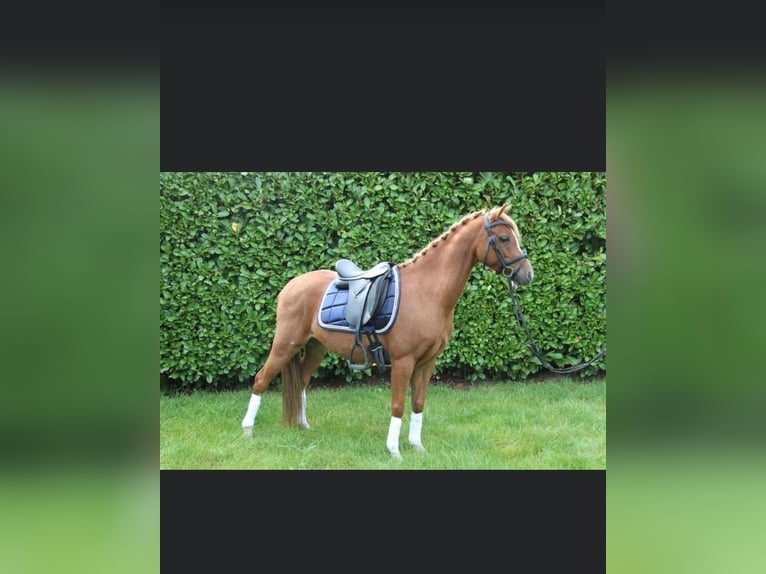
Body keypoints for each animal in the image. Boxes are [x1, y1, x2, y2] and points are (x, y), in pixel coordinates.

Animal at [240, 204, 534, 459]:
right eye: (504, 238)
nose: (527, 275)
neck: (427, 291)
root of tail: (291, 285)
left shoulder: (427, 362)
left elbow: (418, 403)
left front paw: (417, 447)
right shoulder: (403, 361)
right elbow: (398, 405)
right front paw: (394, 451)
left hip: (315, 346)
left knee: (300, 381)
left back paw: (302, 426)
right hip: (286, 343)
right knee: (261, 379)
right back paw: (248, 431)